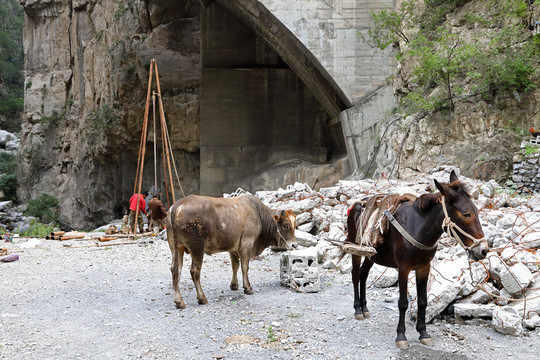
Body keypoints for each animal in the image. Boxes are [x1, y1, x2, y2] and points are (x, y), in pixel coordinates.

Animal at [166, 194, 298, 310]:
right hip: (197, 248)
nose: (294, 245)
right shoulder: (246, 244)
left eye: (295, 225)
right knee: (195, 271)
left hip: (176, 248)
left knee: (175, 270)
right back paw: (202, 298)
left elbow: (235, 265)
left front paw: (234, 285)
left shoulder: (233, 248)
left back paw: (179, 301)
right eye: (285, 225)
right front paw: (248, 288)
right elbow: (244, 266)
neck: (259, 215)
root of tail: (176, 206)